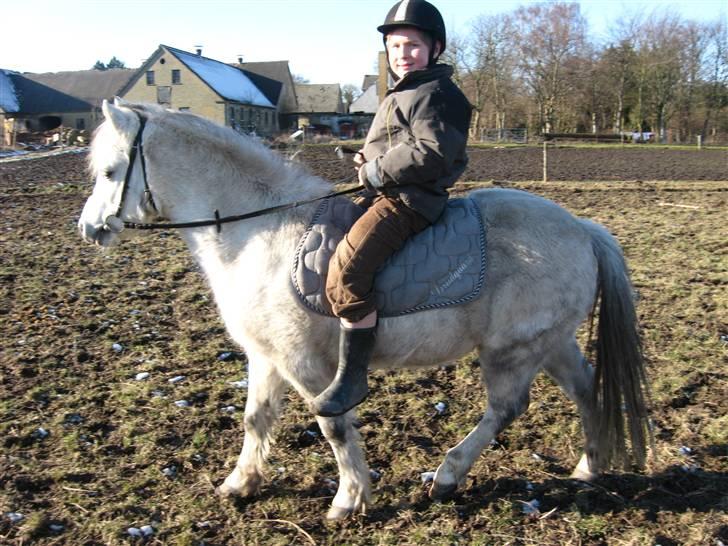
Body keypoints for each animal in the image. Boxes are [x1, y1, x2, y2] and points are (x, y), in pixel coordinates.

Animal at [78, 101, 648, 520]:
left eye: (109, 171)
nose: (89, 229)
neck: (255, 231)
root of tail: (583, 229)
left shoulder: (305, 364)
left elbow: (332, 424)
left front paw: (349, 499)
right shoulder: (265, 356)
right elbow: (256, 420)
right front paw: (241, 483)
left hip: (512, 351)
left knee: (506, 408)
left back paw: (448, 475)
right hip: (549, 342)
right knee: (585, 387)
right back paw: (589, 467)